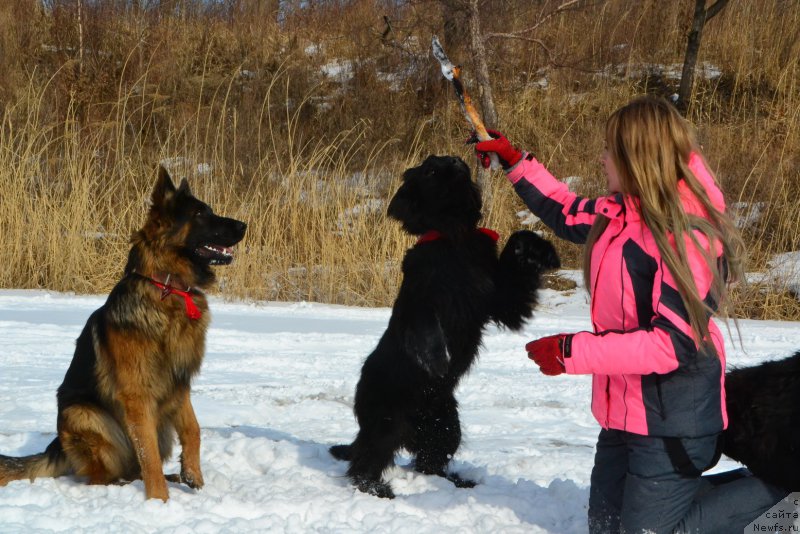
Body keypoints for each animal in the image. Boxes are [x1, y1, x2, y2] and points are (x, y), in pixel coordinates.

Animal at [0, 168, 247, 502]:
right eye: (199, 214)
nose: (244, 225)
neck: (167, 288)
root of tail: (56, 446)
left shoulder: (178, 384)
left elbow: (193, 429)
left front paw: (192, 474)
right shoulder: (138, 397)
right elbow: (149, 455)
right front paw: (159, 502)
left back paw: (169, 476)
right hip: (86, 416)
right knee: (99, 477)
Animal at [328, 156, 560, 502]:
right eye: (430, 170)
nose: (455, 159)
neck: (454, 239)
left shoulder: (501, 301)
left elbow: (517, 250)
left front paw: (536, 250)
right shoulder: (421, 303)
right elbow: (429, 335)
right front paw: (439, 362)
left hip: (446, 425)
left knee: (429, 463)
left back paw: (459, 483)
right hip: (387, 423)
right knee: (365, 461)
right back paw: (379, 490)